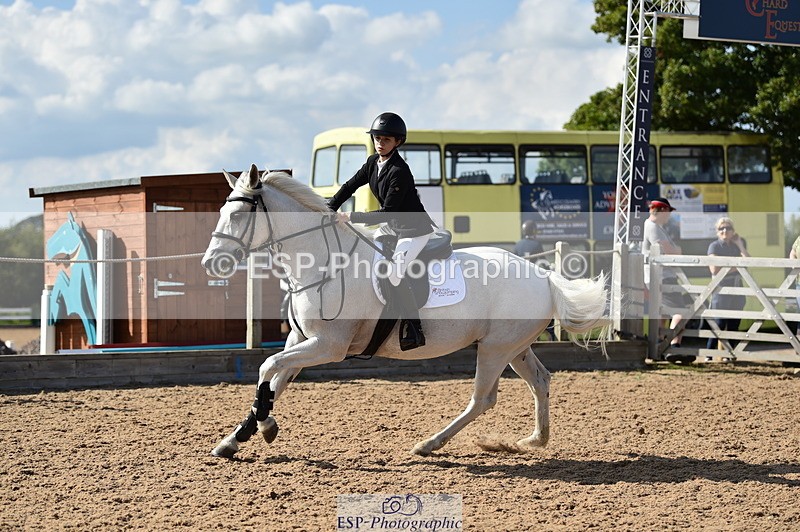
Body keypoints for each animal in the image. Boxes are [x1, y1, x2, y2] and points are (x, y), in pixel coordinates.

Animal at [201, 164, 609, 459]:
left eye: (238, 216)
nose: (211, 264)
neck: (322, 261)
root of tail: (545, 277)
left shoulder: (328, 346)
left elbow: (266, 368)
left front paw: (265, 427)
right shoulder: (301, 340)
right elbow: (275, 379)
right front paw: (238, 437)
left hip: (495, 348)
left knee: (483, 399)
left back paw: (429, 444)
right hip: (514, 347)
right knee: (540, 381)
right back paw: (534, 440)